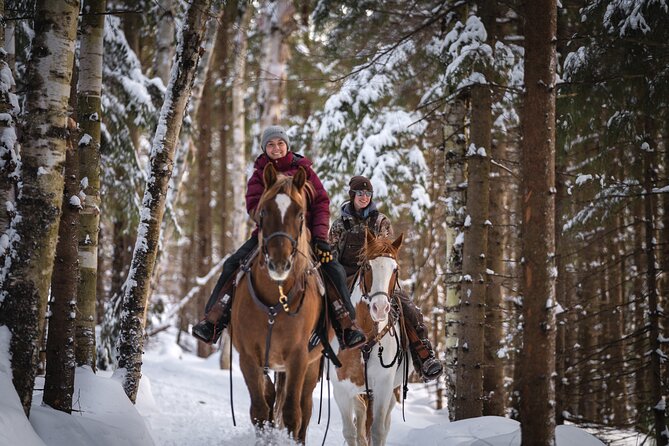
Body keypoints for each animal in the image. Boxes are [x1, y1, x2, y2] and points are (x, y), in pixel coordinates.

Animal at [230, 163, 324, 443]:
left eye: (300, 214)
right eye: (263, 211)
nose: (279, 264)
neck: (276, 300)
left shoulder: (298, 359)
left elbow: (293, 415)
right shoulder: (249, 359)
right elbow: (260, 411)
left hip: (311, 368)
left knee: (304, 408)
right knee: (272, 398)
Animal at [331, 229, 406, 446]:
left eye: (395, 269)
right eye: (367, 266)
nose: (379, 308)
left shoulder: (383, 387)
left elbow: (378, 431)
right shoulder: (341, 389)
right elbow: (351, 432)